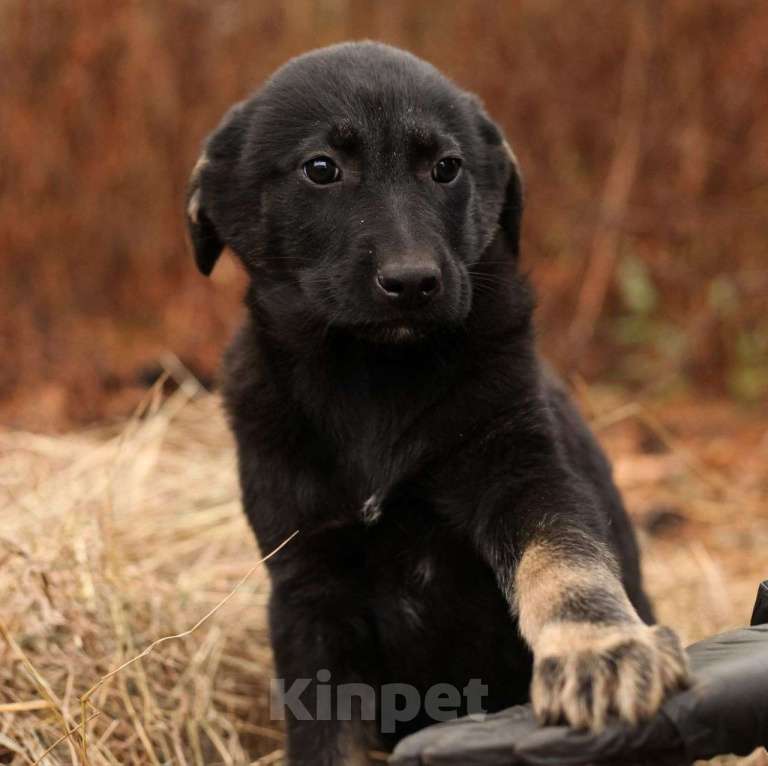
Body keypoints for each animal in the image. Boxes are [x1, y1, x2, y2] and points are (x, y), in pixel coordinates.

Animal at [188, 43, 688, 766]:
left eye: (445, 168)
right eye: (321, 169)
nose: (412, 281)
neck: (373, 377)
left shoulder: (524, 473)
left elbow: (566, 564)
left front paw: (602, 650)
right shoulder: (309, 589)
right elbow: (324, 734)